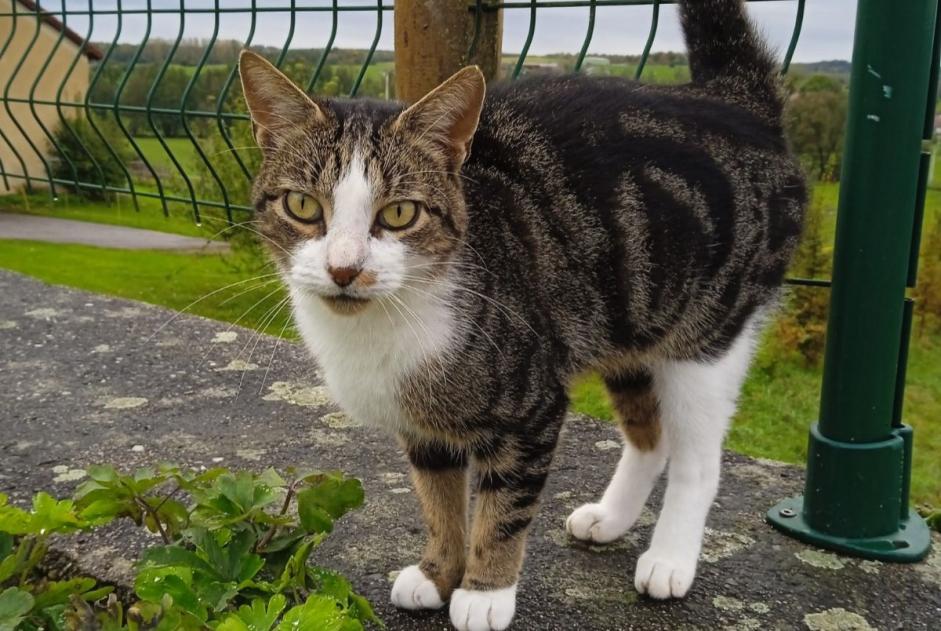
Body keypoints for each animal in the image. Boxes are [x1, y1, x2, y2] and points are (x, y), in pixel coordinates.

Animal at [239, 1, 804, 628]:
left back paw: (670, 559)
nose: (344, 269)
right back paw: (610, 518)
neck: (385, 325)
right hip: (627, 317)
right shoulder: (422, 428)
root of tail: (736, 101)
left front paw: (485, 591)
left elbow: (504, 505)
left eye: (400, 213)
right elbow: (438, 498)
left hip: (708, 333)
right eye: (302, 205)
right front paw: (438, 572)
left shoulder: (532, 407)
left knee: (697, 456)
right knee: (650, 438)